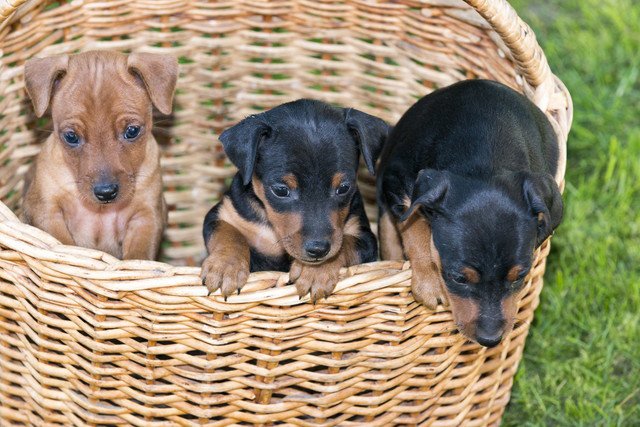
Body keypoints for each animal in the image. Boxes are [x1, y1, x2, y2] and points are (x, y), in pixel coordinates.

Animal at [21, 48, 178, 260]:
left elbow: (138, 255)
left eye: (132, 131)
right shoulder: (45, 211)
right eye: (71, 136)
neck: (100, 211)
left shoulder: (146, 217)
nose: (106, 193)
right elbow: (63, 244)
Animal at [202, 99, 388, 302]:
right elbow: (228, 233)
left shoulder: (366, 239)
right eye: (281, 190)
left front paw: (316, 271)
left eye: (344, 188)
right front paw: (225, 266)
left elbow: (346, 242)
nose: (318, 250)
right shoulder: (223, 214)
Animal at [378, 79, 564, 348]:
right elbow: (412, 225)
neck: (484, 157)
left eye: (520, 276)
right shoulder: (397, 184)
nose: (490, 340)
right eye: (459, 279)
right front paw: (429, 283)